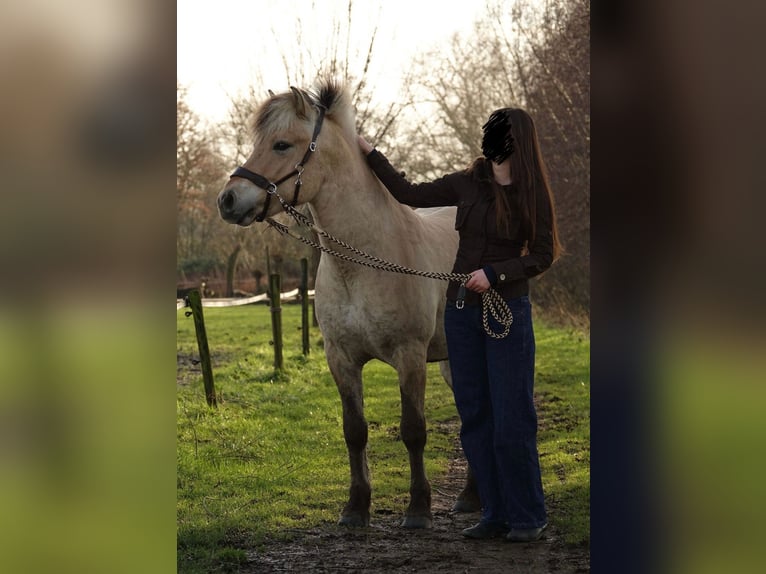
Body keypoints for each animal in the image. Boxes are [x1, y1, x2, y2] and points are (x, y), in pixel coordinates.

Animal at [217, 79, 479, 528]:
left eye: (282, 144)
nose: (228, 199)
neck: (363, 263)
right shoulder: (340, 358)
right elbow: (354, 431)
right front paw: (356, 508)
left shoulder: (410, 356)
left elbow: (414, 430)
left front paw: (418, 509)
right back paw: (469, 497)